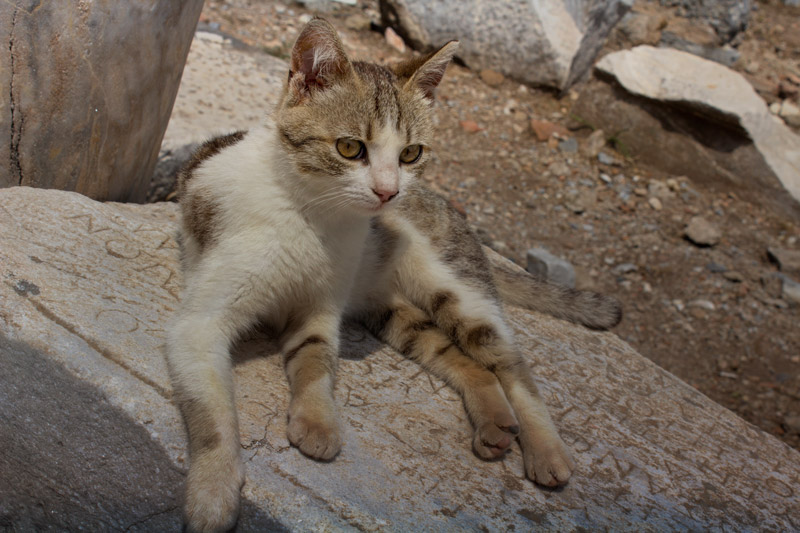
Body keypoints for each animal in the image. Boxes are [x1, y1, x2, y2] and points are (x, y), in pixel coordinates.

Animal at [167, 16, 620, 532]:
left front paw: (318, 421)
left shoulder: (321, 309)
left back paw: (546, 450)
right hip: (393, 314)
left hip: (456, 291)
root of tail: (456, 216)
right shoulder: (199, 326)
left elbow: (318, 363)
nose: (388, 193)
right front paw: (213, 492)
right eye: (349, 148)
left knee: (511, 364)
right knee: (463, 360)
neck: (309, 213)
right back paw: (495, 425)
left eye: (411, 153)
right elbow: (214, 416)